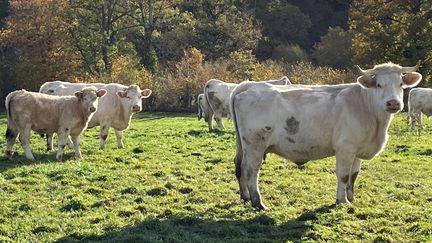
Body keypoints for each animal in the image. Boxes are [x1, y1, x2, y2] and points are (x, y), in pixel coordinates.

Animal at [231, 62, 420, 209]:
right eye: (379, 84)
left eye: (401, 84)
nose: (393, 103)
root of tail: (250, 85)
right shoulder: (345, 148)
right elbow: (343, 175)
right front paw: (342, 201)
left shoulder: (357, 149)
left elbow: (354, 175)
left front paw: (351, 198)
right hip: (255, 144)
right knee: (251, 170)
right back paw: (258, 202)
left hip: (243, 144)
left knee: (240, 166)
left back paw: (245, 196)